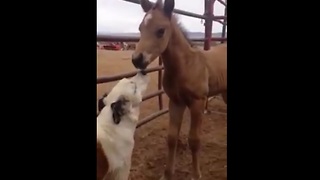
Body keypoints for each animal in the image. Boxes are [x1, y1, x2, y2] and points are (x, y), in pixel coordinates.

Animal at [131, 0, 226, 180]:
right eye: (140, 28)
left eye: (161, 30)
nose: (137, 59)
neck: (186, 66)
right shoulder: (176, 102)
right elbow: (171, 138)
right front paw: (167, 174)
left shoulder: (197, 103)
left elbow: (194, 141)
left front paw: (196, 174)